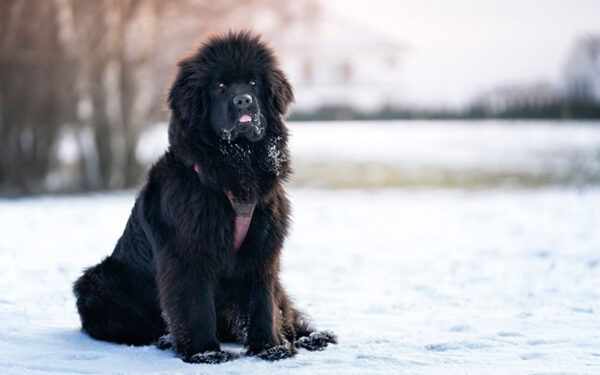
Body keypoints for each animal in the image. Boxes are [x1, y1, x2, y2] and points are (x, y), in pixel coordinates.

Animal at [72, 31, 336, 364]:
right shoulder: (188, 251)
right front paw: (205, 353)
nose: (243, 100)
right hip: (98, 282)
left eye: (253, 83)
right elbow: (195, 304)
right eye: (219, 86)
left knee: (284, 309)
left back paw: (311, 337)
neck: (236, 170)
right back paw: (165, 340)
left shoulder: (263, 247)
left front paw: (271, 348)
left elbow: (263, 301)